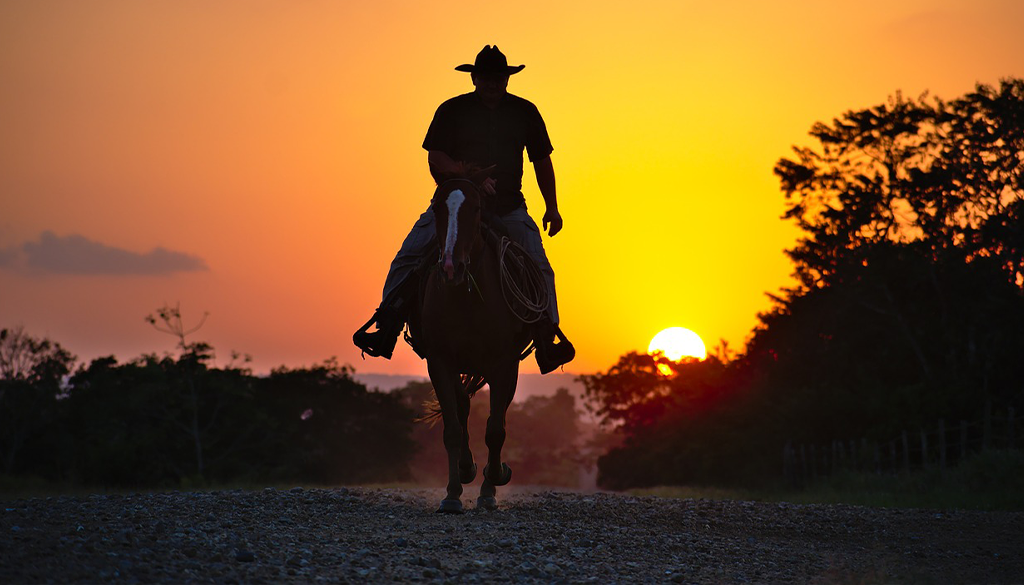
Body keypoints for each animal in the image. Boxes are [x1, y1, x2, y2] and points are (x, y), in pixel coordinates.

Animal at [405, 177, 540, 512]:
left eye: (476, 208)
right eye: (437, 208)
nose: (451, 267)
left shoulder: (503, 364)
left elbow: (495, 429)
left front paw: (492, 485)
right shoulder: (440, 361)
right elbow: (453, 428)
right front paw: (453, 493)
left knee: (497, 416)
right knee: (464, 407)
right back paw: (467, 469)